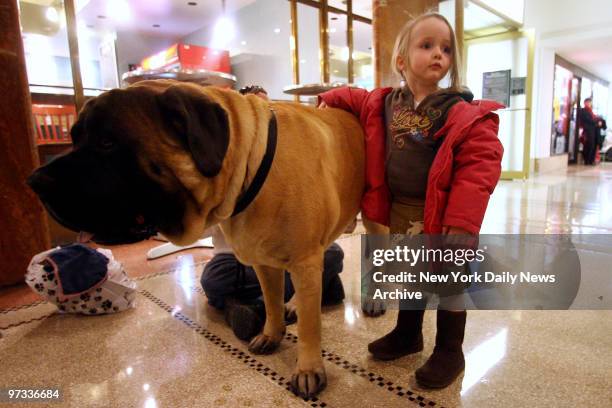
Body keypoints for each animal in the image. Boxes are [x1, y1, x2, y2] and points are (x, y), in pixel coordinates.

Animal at [28, 78, 364, 396]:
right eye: (74, 137)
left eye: (107, 142)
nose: (34, 181)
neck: (249, 163)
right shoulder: (264, 261)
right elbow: (271, 302)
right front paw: (272, 333)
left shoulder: (304, 260)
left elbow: (309, 326)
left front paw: (308, 368)